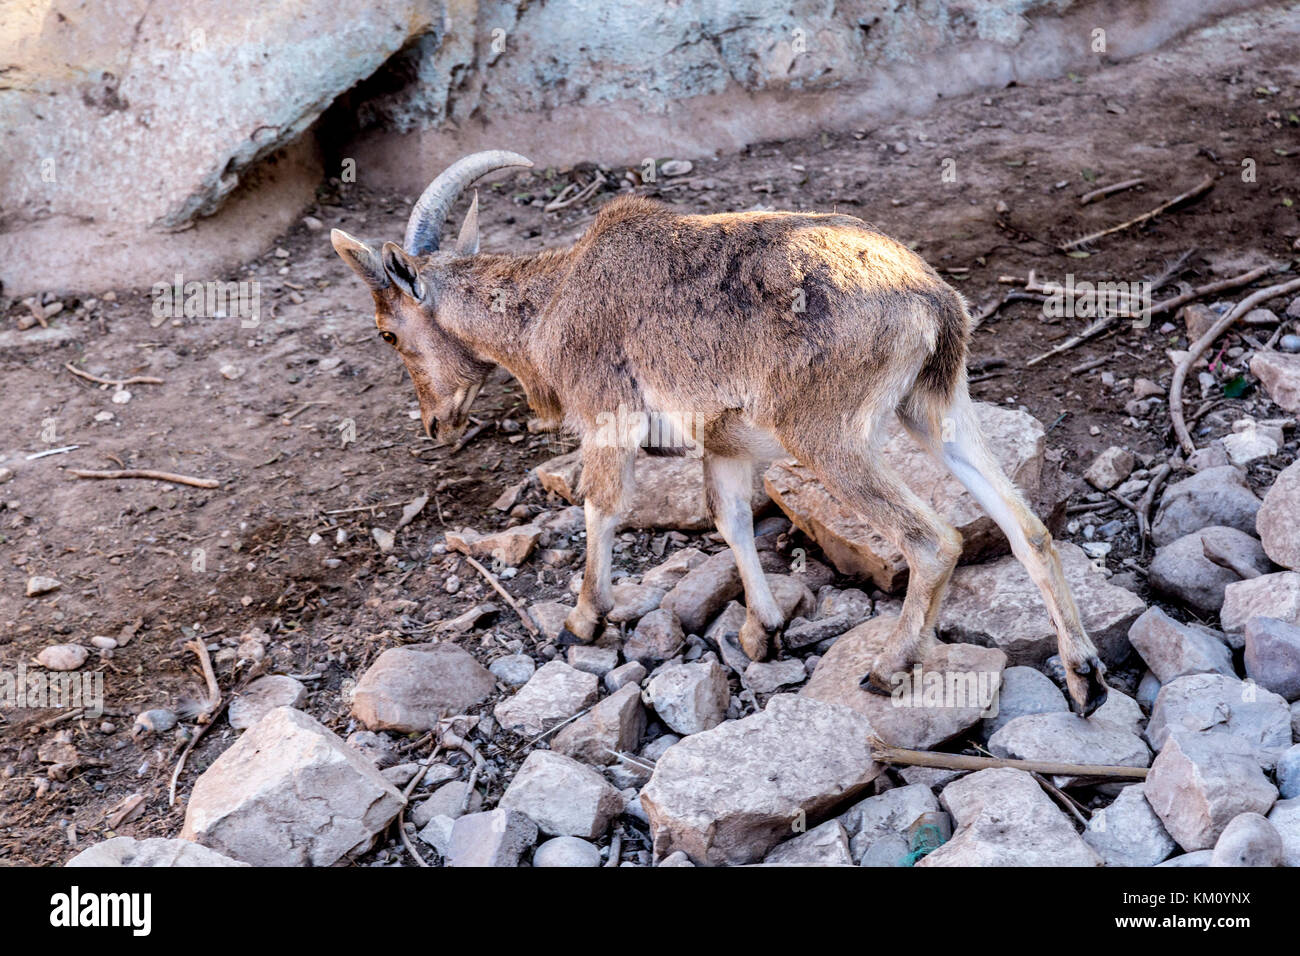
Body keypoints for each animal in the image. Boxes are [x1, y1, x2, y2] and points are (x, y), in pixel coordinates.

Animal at [330, 149, 1112, 712]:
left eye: (389, 333)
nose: (438, 422)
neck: (551, 304)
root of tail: (931, 300)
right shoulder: (726, 443)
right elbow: (730, 518)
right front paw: (761, 631)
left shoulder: (608, 418)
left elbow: (602, 507)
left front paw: (584, 620)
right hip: (935, 406)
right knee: (1026, 527)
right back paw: (1084, 674)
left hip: (829, 435)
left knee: (933, 539)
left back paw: (889, 669)